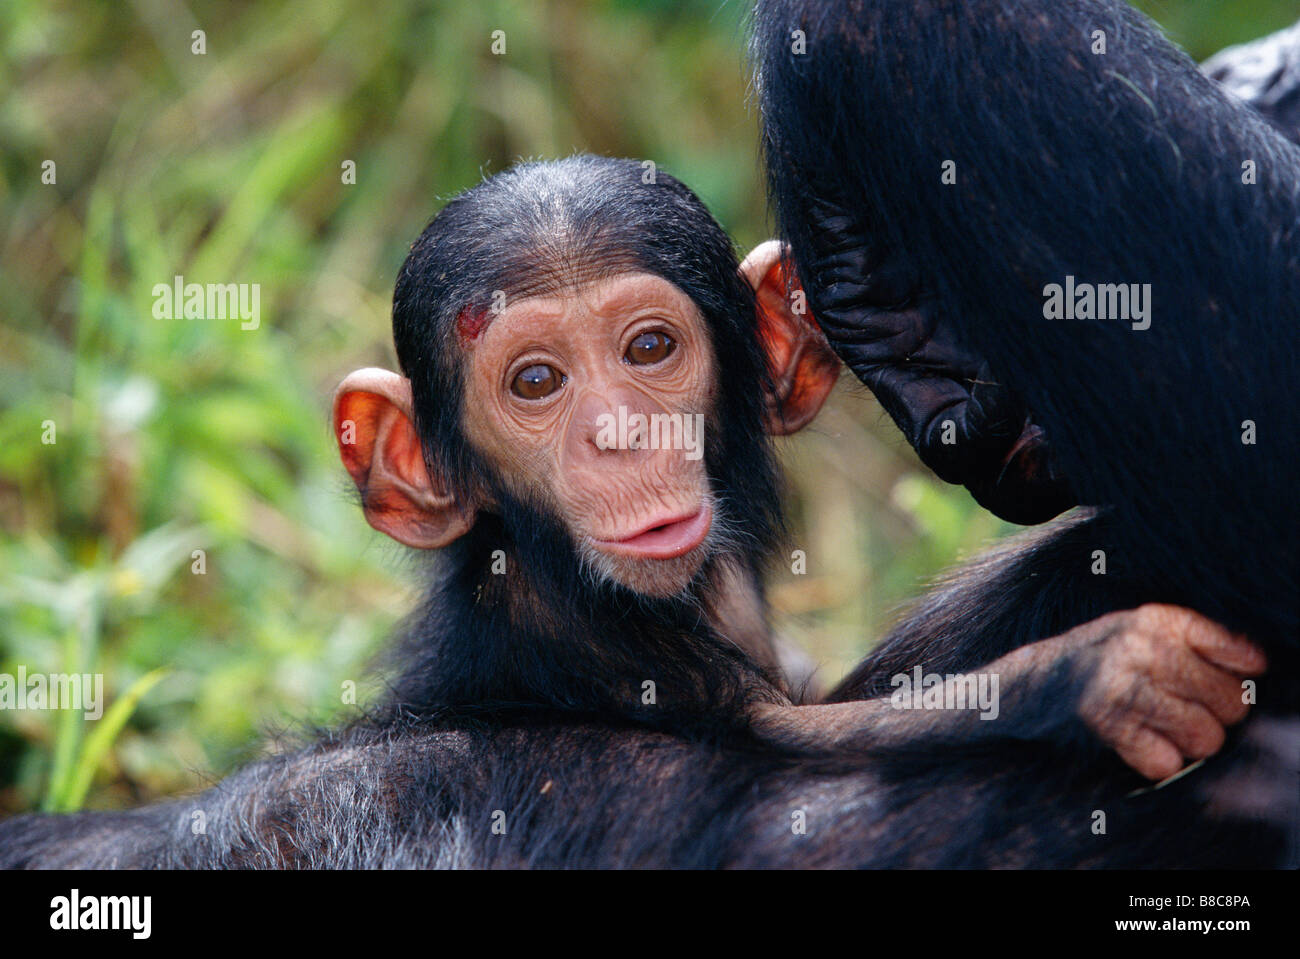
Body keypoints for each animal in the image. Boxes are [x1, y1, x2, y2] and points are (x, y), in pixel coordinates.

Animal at [0, 157, 1279, 868]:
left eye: (648, 349)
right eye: (535, 382)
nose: (618, 433)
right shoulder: (585, 648)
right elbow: (800, 747)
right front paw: (1104, 671)